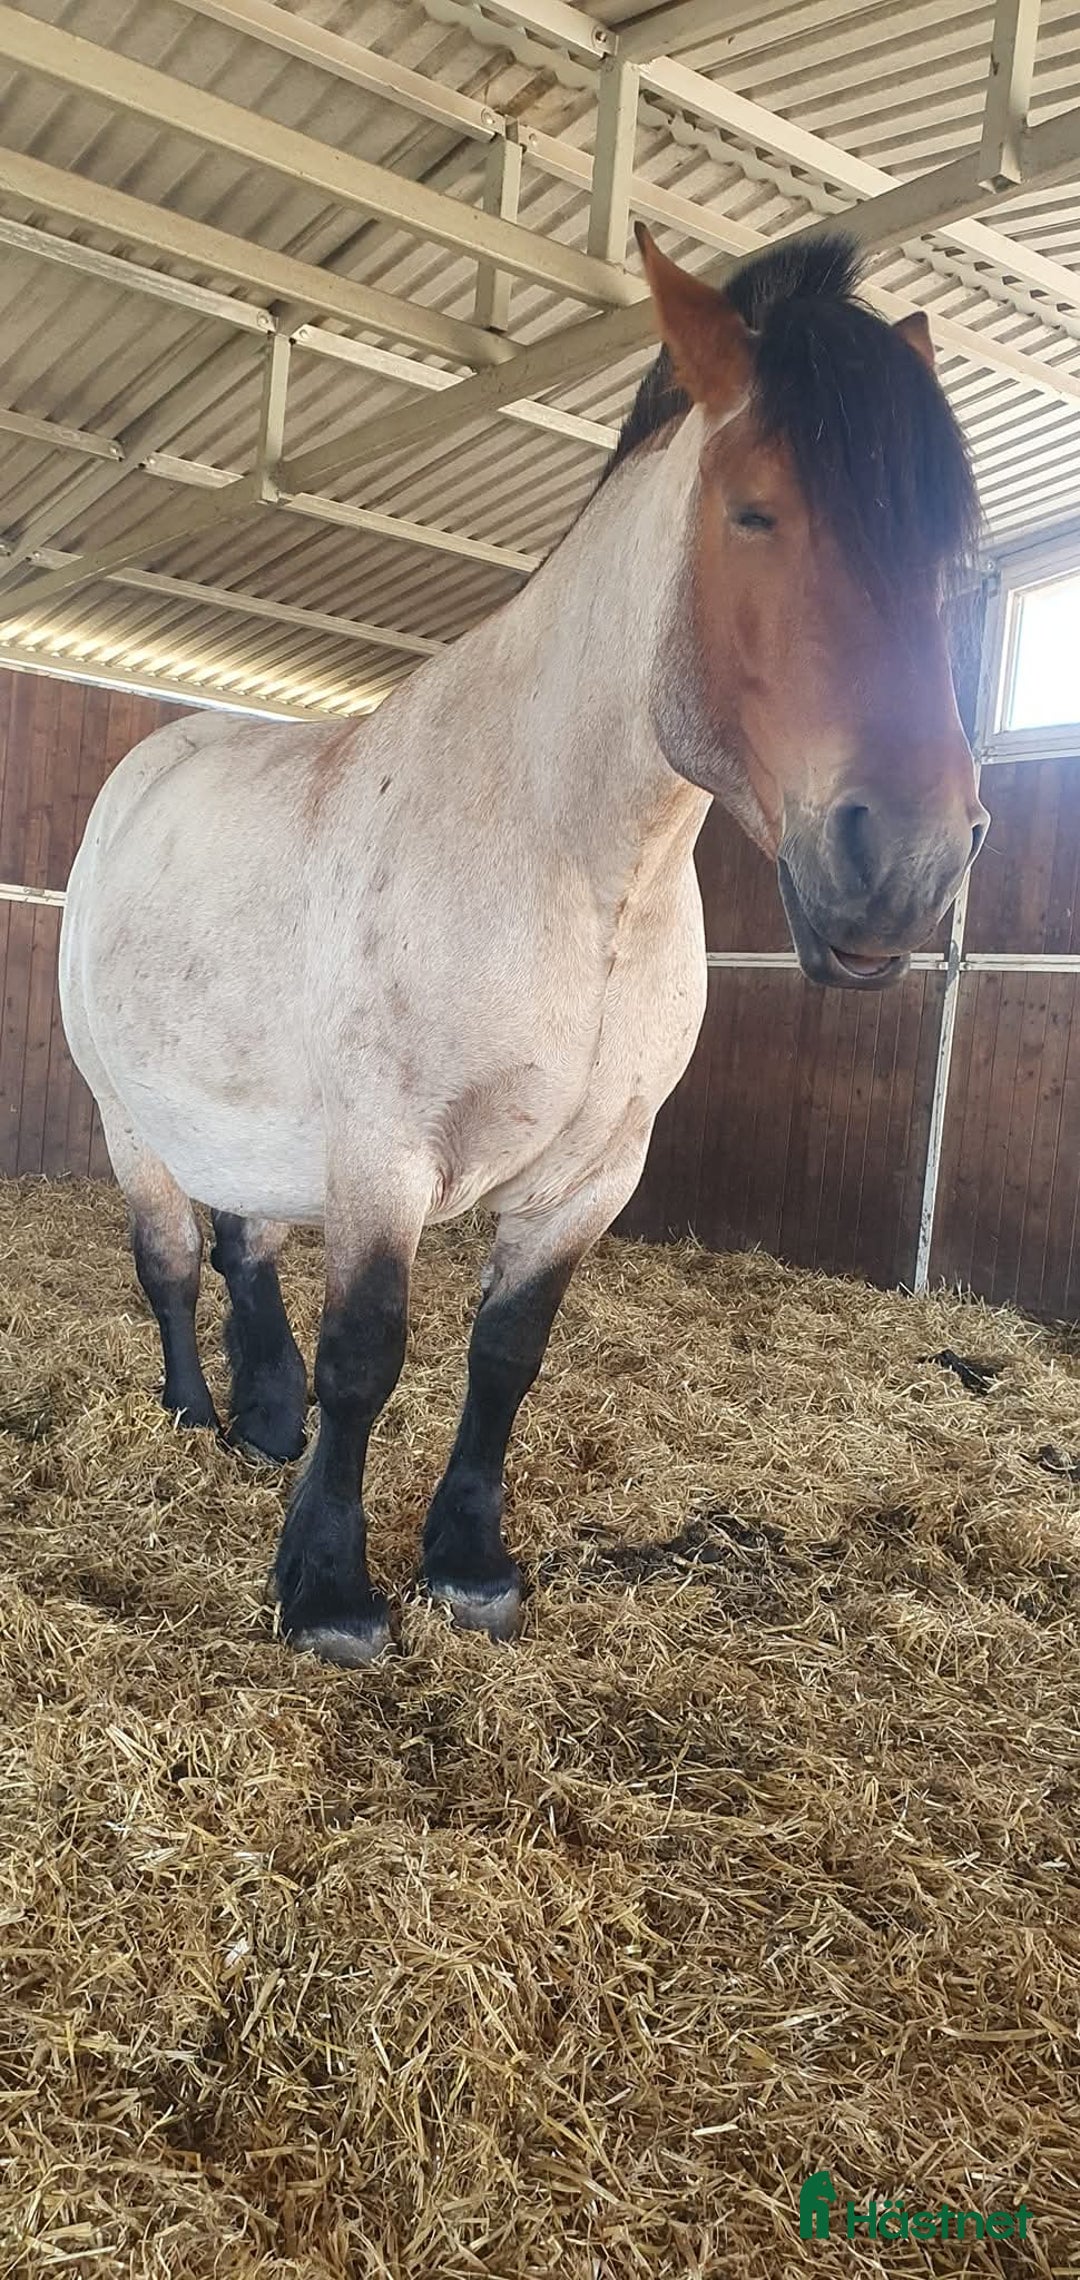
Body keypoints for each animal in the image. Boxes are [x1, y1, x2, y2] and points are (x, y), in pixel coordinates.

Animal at [59, 228, 988, 1667]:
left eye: (957, 562)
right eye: (755, 512)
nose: (907, 866)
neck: (577, 875)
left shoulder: (592, 1177)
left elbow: (506, 1355)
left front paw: (468, 1566)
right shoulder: (383, 1154)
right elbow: (368, 1355)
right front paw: (328, 1593)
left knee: (245, 1247)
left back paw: (262, 1421)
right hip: (130, 1116)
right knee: (168, 1261)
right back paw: (194, 1414)